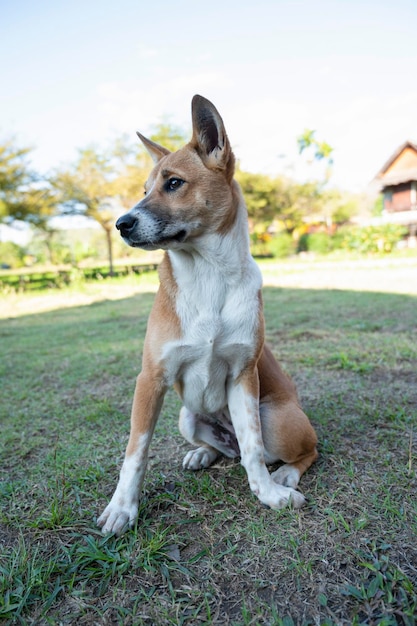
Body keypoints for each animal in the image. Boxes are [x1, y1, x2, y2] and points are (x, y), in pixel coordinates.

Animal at [97, 95, 316, 532]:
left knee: (301, 450)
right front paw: (122, 508)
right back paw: (204, 453)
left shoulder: (244, 377)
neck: (208, 274)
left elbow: (253, 449)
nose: (121, 224)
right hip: (187, 416)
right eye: (145, 189)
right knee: (225, 449)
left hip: (278, 420)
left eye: (174, 183)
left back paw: (285, 473)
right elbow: (135, 452)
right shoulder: (150, 380)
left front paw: (269, 494)